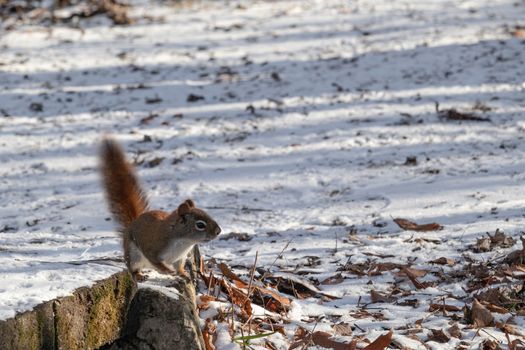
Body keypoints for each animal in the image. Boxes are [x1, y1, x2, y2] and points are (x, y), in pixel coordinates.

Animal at [99, 137, 220, 282]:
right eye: (200, 225)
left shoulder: (180, 258)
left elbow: (179, 267)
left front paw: (183, 274)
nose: (218, 231)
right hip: (133, 255)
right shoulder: (152, 247)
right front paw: (167, 270)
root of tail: (132, 224)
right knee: (133, 268)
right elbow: (155, 261)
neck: (183, 241)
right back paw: (139, 275)